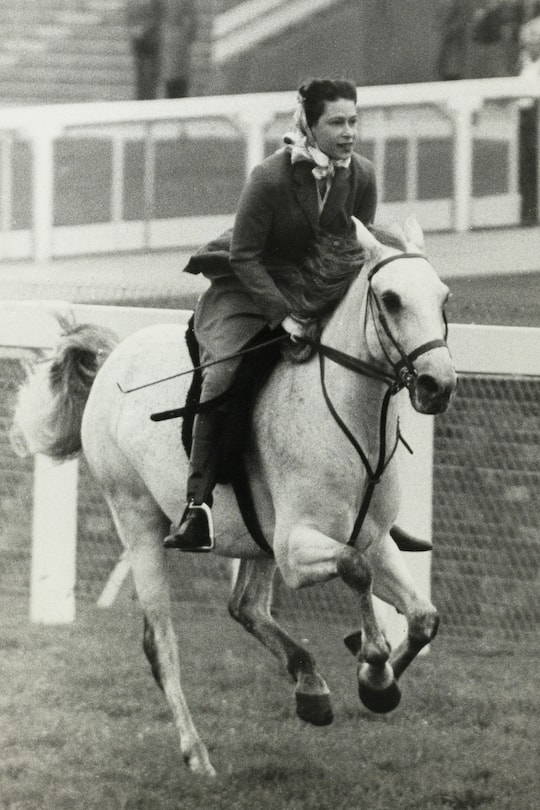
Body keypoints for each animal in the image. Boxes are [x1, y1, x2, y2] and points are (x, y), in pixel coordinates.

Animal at [11, 217, 457, 777]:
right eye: (393, 299)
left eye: (443, 297)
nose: (438, 385)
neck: (351, 423)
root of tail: (114, 357)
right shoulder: (296, 548)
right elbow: (356, 569)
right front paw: (372, 657)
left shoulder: (373, 538)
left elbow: (422, 616)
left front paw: (378, 684)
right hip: (138, 522)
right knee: (161, 641)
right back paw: (197, 753)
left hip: (253, 537)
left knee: (245, 606)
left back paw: (310, 686)